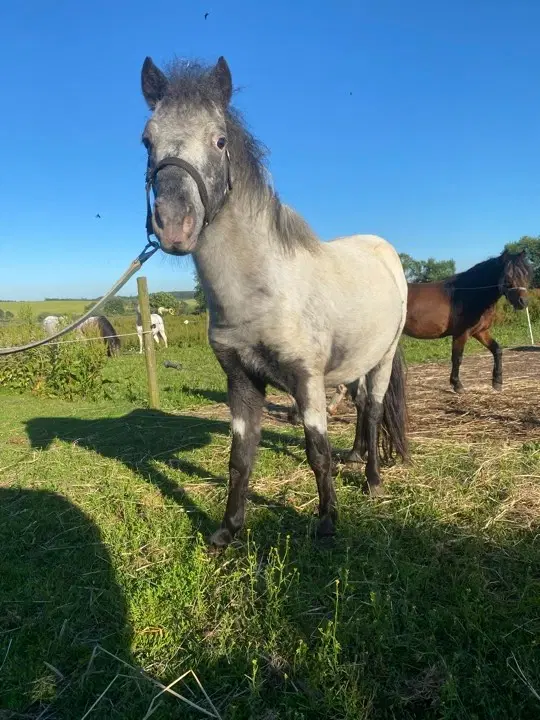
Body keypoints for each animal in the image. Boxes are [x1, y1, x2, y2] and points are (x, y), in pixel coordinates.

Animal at [404, 249, 532, 394]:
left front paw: (497, 382)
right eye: (508, 276)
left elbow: (497, 349)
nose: (523, 302)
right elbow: (457, 358)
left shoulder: (480, 332)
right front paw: (457, 385)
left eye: (526, 274)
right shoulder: (461, 334)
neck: (468, 295)